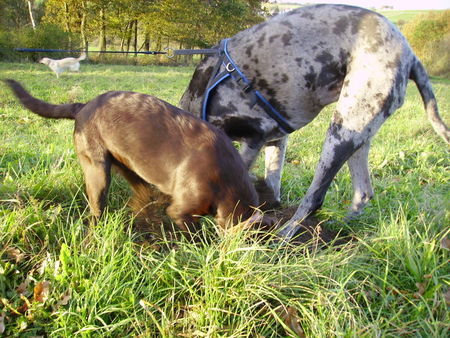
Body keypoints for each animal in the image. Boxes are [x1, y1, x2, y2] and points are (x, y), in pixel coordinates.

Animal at [5, 79, 260, 234]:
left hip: (132, 167)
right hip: (98, 171)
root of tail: (83, 106)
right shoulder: (182, 211)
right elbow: (193, 232)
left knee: (141, 195)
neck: (227, 182)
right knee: (97, 209)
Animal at [180, 3, 450, 240]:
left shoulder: (254, 137)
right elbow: (271, 183)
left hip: (340, 133)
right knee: (362, 193)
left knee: (315, 199)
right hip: (358, 135)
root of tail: (410, 55)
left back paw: (287, 236)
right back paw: (338, 230)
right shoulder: (275, 139)